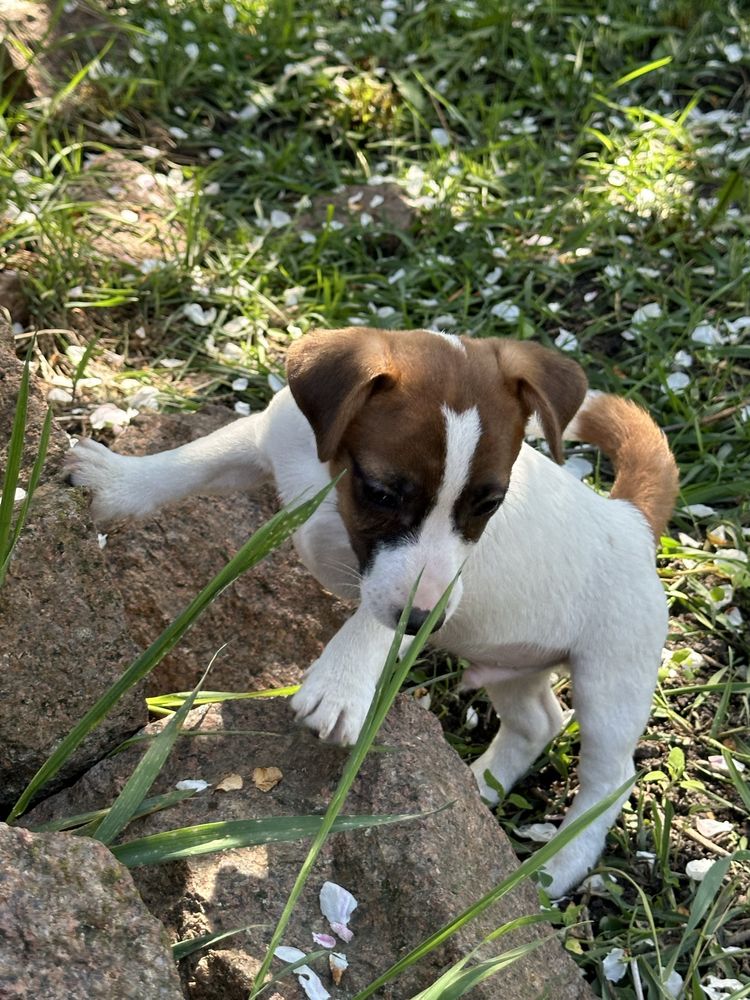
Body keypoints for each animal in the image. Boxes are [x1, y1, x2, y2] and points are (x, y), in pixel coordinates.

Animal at [67, 328, 684, 900]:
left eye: (489, 504)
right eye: (383, 493)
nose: (428, 621)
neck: (331, 483)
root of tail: (630, 519)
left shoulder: (438, 584)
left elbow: (376, 618)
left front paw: (339, 685)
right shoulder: (263, 439)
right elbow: (192, 460)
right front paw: (118, 483)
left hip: (612, 680)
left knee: (610, 776)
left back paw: (559, 862)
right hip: (513, 661)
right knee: (537, 722)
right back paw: (480, 786)